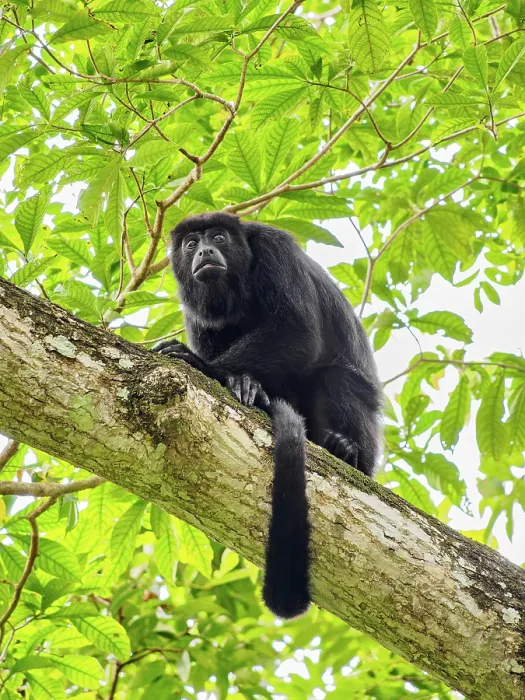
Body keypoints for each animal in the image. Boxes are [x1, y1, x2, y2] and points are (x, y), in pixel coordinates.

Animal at [154, 212, 383, 619]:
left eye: (218, 237)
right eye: (191, 244)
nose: (205, 251)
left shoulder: (276, 249)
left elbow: (297, 333)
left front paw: (203, 365)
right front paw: (239, 381)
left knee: (335, 377)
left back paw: (345, 450)